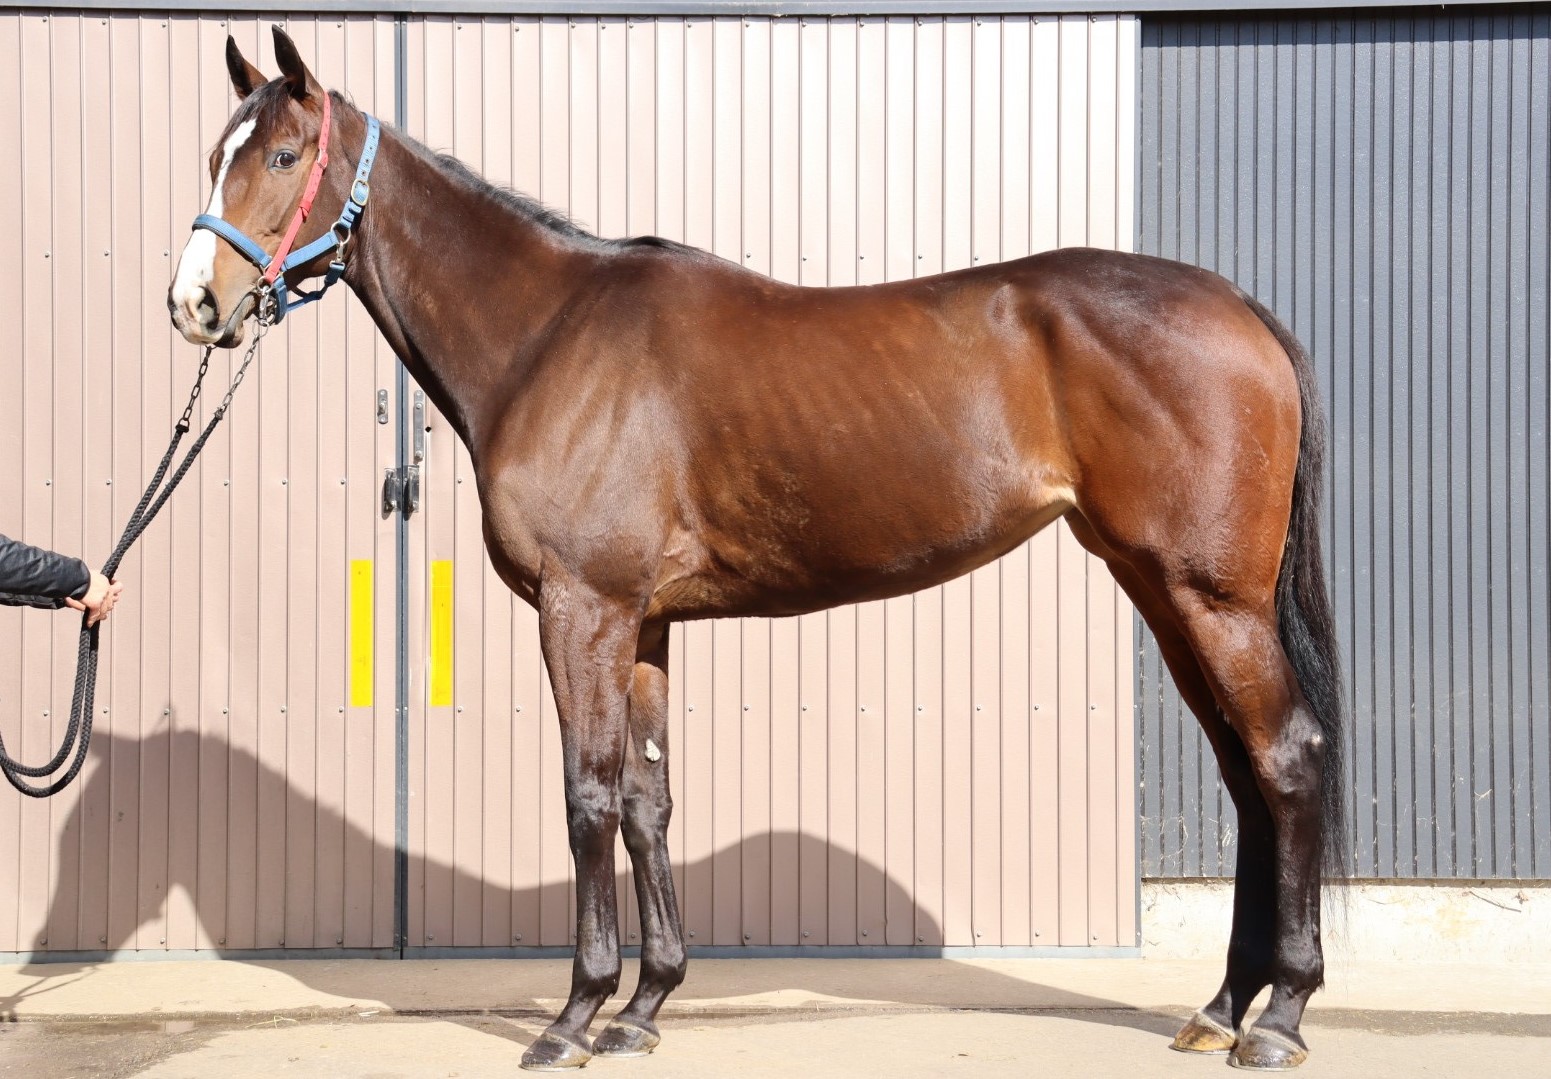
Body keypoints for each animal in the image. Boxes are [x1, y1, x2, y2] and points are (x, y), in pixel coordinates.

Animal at [168, 27, 1346, 1072]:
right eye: (215, 151)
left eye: (281, 156)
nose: (193, 304)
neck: (549, 335)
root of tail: (1238, 307)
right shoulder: (643, 623)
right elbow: (647, 801)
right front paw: (644, 1005)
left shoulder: (582, 608)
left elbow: (586, 795)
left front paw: (573, 1016)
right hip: (1162, 591)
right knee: (1244, 773)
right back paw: (1222, 1006)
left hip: (1213, 598)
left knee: (1287, 758)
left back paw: (1280, 1016)